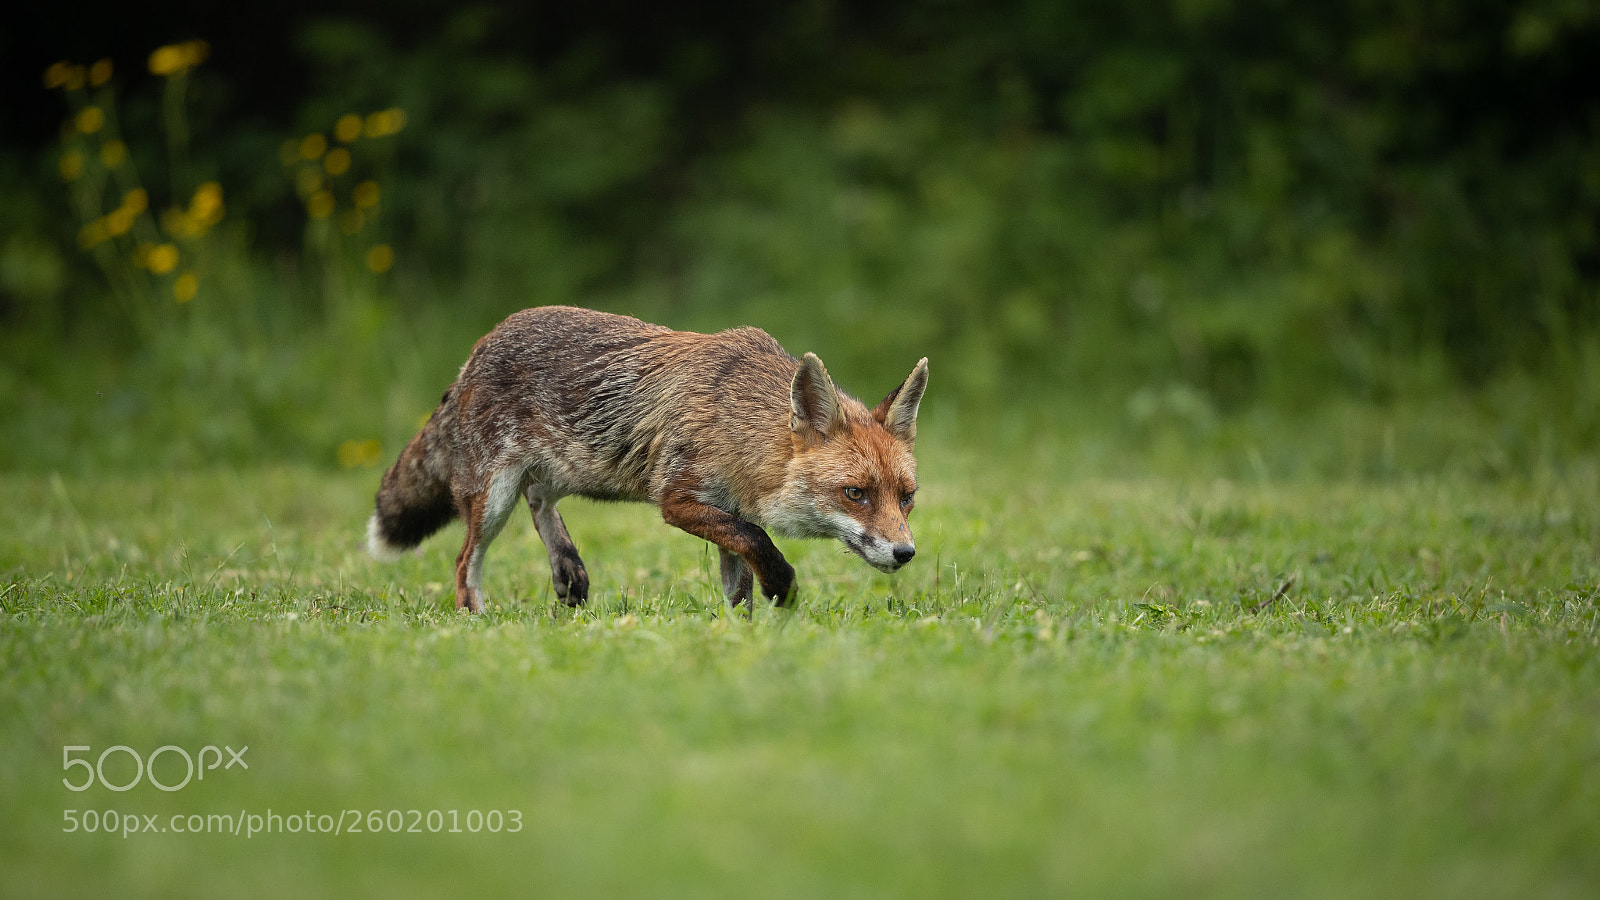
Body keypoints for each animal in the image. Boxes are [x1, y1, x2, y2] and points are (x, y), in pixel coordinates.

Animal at [366, 305, 929, 613]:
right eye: (854, 493)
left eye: (906, 498)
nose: (906, 553)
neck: (735, 423)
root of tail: (477, 348)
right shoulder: (678, 500)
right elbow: (759, 542)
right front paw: (782, 589)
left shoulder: (726, 509)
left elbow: (739, 581)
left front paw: (742, 636)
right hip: (493, 497)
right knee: (466, 562)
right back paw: (476, 620)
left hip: (566, 470)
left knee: (540, 500)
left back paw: (567, 571)